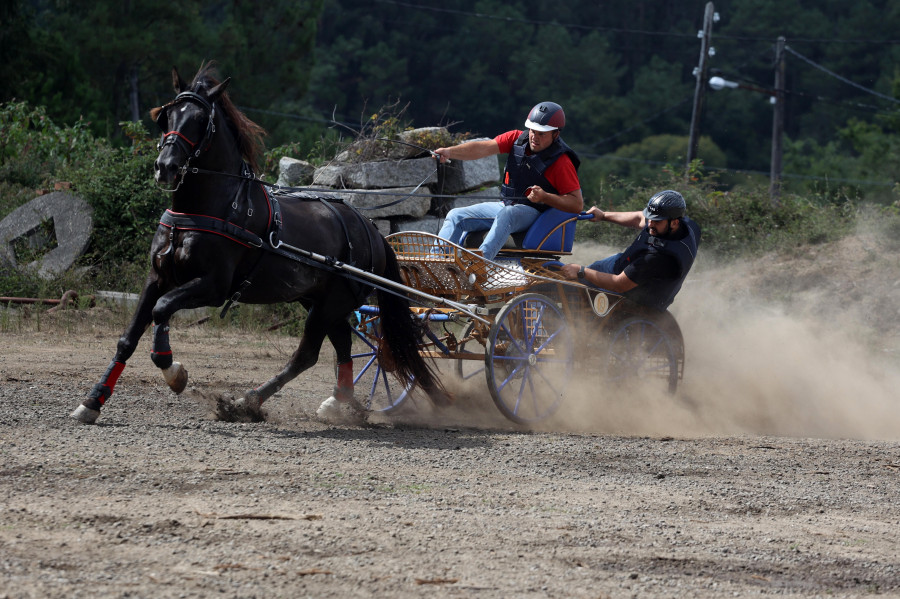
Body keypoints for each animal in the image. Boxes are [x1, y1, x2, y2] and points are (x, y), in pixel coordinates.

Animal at [70, 63, 446, 424]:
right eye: (166, 116)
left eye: (200, 121)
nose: (166, 167)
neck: (205, 208)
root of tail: (372, 231)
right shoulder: (158, 277)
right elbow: (128, 338)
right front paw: (93, 401)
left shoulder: (213, 286)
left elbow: (162, 309)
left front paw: (173, 369)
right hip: (320, 300)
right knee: (341, 344)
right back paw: (339, 402)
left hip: (330, 302)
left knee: (306, 355)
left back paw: (246, 403)